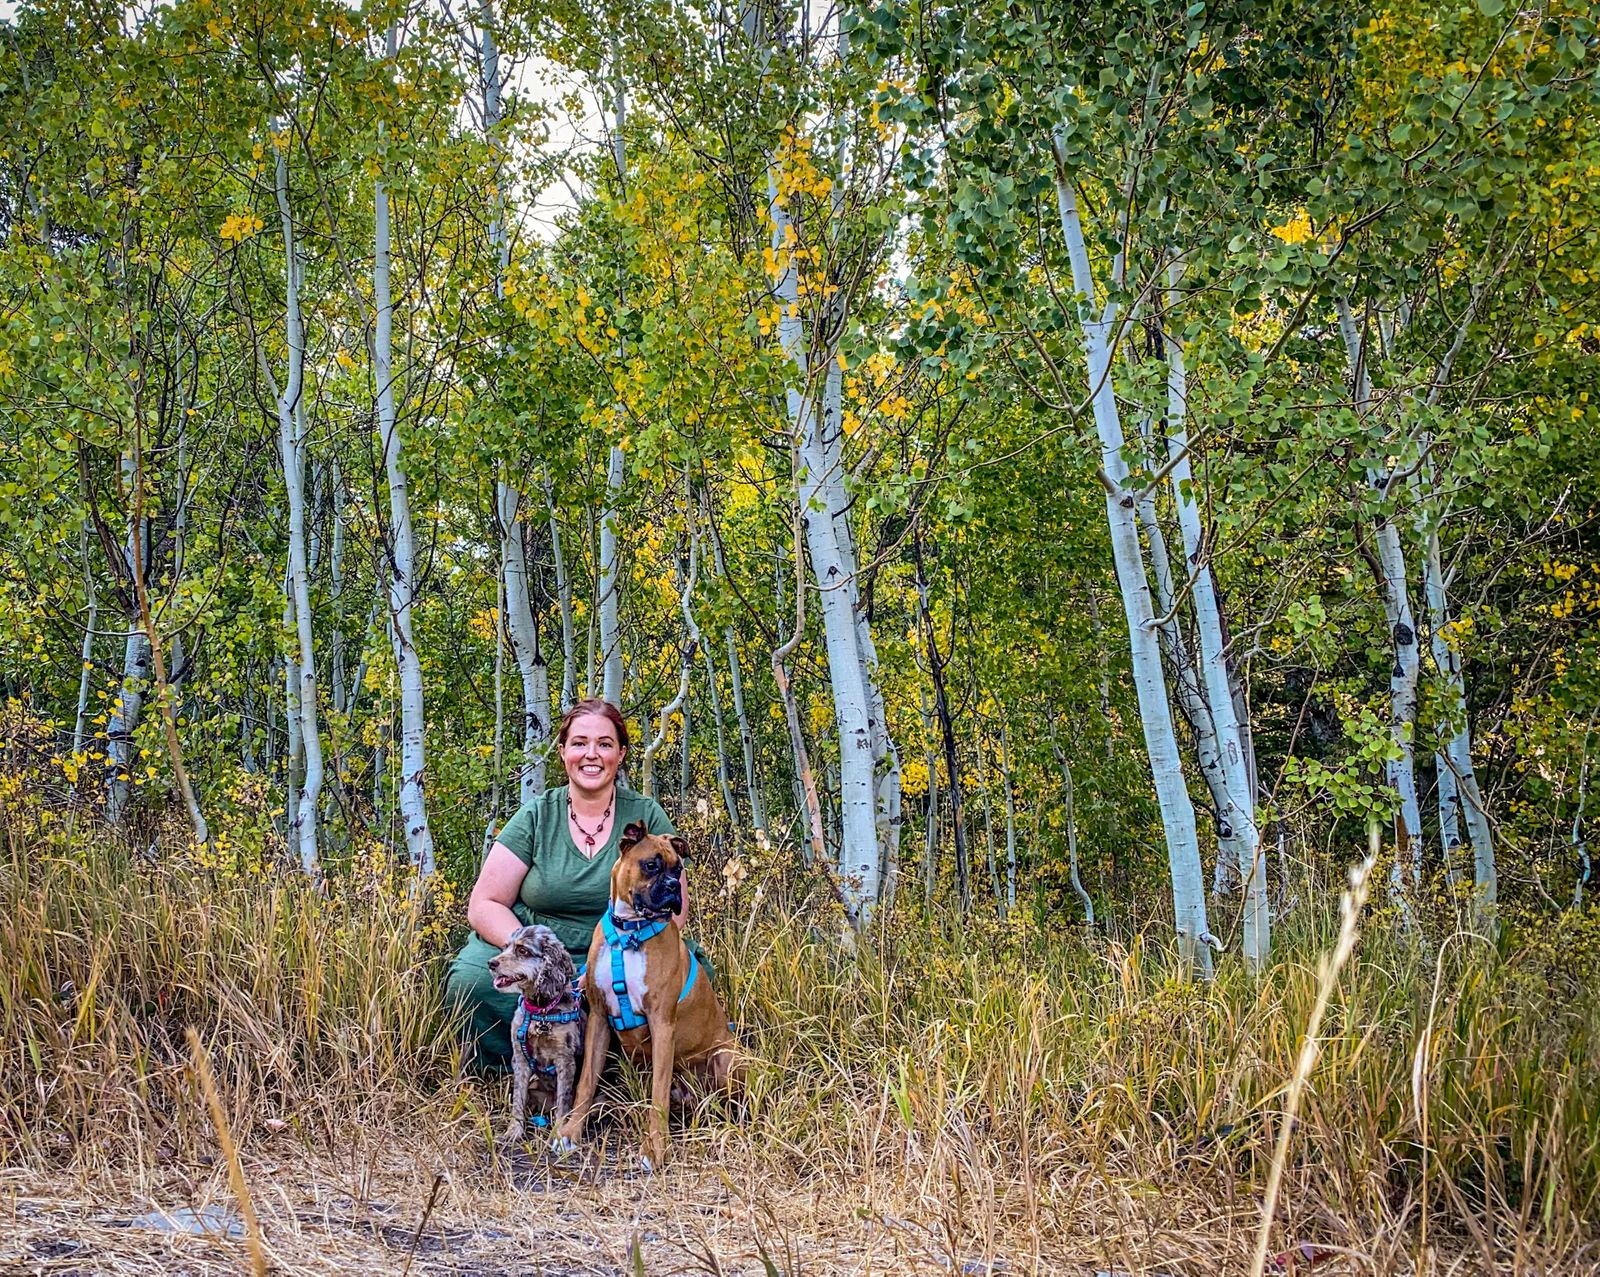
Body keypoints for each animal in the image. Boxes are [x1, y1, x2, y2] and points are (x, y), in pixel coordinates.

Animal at [492, 928, 588, 1145]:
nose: (491, 963)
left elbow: (563, 1100)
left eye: (522, 950)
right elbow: (518, 1098)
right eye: (505, 947)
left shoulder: (565, 1060)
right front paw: (514, 1131)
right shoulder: (520, 1058)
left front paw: (559, 1134)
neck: (541, 1011)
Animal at [553, 825, 739, 1177]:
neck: (629, 934)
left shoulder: (662, 1025)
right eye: (651, 865)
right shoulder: (599, 1019)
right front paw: (570, 1133)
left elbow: (658, 1096)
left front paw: (654, 1150)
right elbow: (585, 1083)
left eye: (678, 869)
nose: (672, 887)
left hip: (725, 1058)